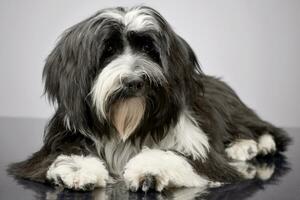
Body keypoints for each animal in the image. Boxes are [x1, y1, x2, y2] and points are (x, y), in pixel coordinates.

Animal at [9, 5, 290, 191]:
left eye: (148, 48)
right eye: (108, 50)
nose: (134, 81)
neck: (127, 124)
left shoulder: (203, 155)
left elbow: (177, 156)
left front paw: (150, 169)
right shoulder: (60, 140)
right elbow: (60, 154)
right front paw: (78, 169)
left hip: (235, 112)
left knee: (265, 129)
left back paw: (253, 145)